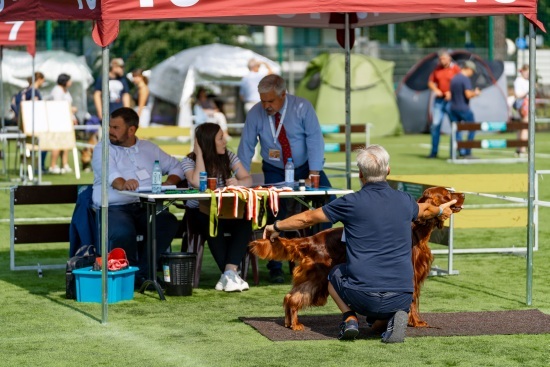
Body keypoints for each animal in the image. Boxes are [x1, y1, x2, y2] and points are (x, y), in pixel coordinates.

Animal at [250, 185, 466, 332]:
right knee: (294, 297)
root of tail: (311, 239)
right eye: (448, 194)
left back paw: (289, 323)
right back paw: (295, 324)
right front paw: (417, 322)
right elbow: (412, 301)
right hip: (318, 277)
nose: (463, 194)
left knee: (290, 296)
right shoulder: (411, 275)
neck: (417, 230)